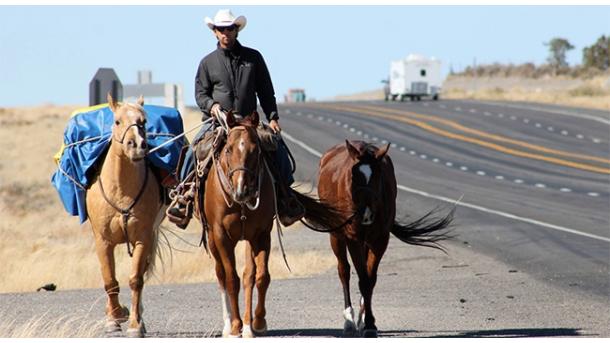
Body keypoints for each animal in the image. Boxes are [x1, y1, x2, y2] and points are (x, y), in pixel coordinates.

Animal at [85, 94, 165, 338]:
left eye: (143, 122)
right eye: (118, 121)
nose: (137, 145)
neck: (120, 189)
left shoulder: (143, 239)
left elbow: (135, 280)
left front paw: (135, 324)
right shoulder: (103, 242)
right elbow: (110, 281)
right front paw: (113, 318)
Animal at [194, 111, 338, 338]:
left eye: (255, 150)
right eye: (228, 149)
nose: (241, 190)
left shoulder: (260, 234)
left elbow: (260, 277)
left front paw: (257, 323)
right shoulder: (222, 236)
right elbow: (231, 279)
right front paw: (235, 326)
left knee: (248, 275)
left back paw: (248, 324)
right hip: (212, 238)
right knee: (221, 274)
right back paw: (228, 324)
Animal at [318, 140, 452, 338]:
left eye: (377, 176)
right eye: (353, 175)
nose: (364, 212)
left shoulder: (379, 240)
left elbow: (370, 279)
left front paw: (369, 323)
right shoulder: (353, 239)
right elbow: (362, 279)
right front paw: (365, 322)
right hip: (336, 236)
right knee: (343, 270)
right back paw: (349, 320)